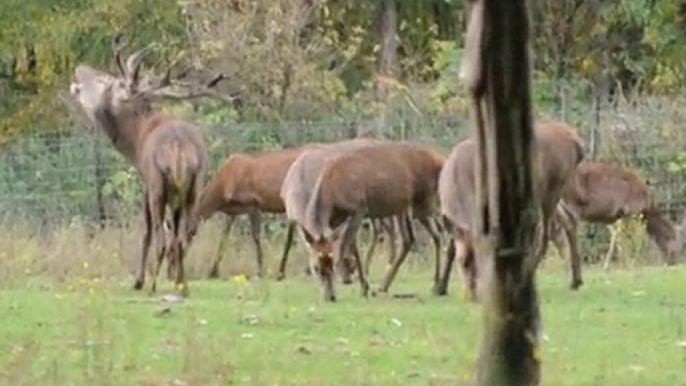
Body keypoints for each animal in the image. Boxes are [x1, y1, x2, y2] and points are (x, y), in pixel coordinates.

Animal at [68, 36, 223, 296]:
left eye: (108, 81)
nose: (79, 69)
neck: (136, 142)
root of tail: (181, 151)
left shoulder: (146, 182)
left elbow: (146, 232)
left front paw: (138, 280)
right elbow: (176, 233)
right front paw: (175, 280)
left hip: (158, 183)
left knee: (161, 238)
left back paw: (151, 285)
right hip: (195, 185)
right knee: (183, 236)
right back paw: (182, 285)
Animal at [300, 142, 446, 302]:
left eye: (332, 264)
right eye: (315, 267)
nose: (330, 296)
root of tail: (442, 158)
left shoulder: (358, 207)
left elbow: (348, 241)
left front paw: (353, 280)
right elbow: (351, 244)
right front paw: (362, 285)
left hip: (428, 200)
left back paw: (440, 286)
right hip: (407, 207)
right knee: (419, 237)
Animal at [440, 120, 584, 298]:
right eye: (462, 261)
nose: (474, 295)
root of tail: (576, 142)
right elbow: (451, 247)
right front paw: (440, 286)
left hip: (553, 185)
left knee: (546, 233)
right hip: (551, 192)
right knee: (569, 218)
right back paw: (576, 280)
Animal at [552, 161, 680, 278]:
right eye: (672, 239)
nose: (674, 261)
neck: (645, 206)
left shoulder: (615, 217)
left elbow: (616, 238)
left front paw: (609, 266)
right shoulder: (629, 211)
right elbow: (626, 238)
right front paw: (628, 264)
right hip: (571, 204)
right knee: (563, 232)